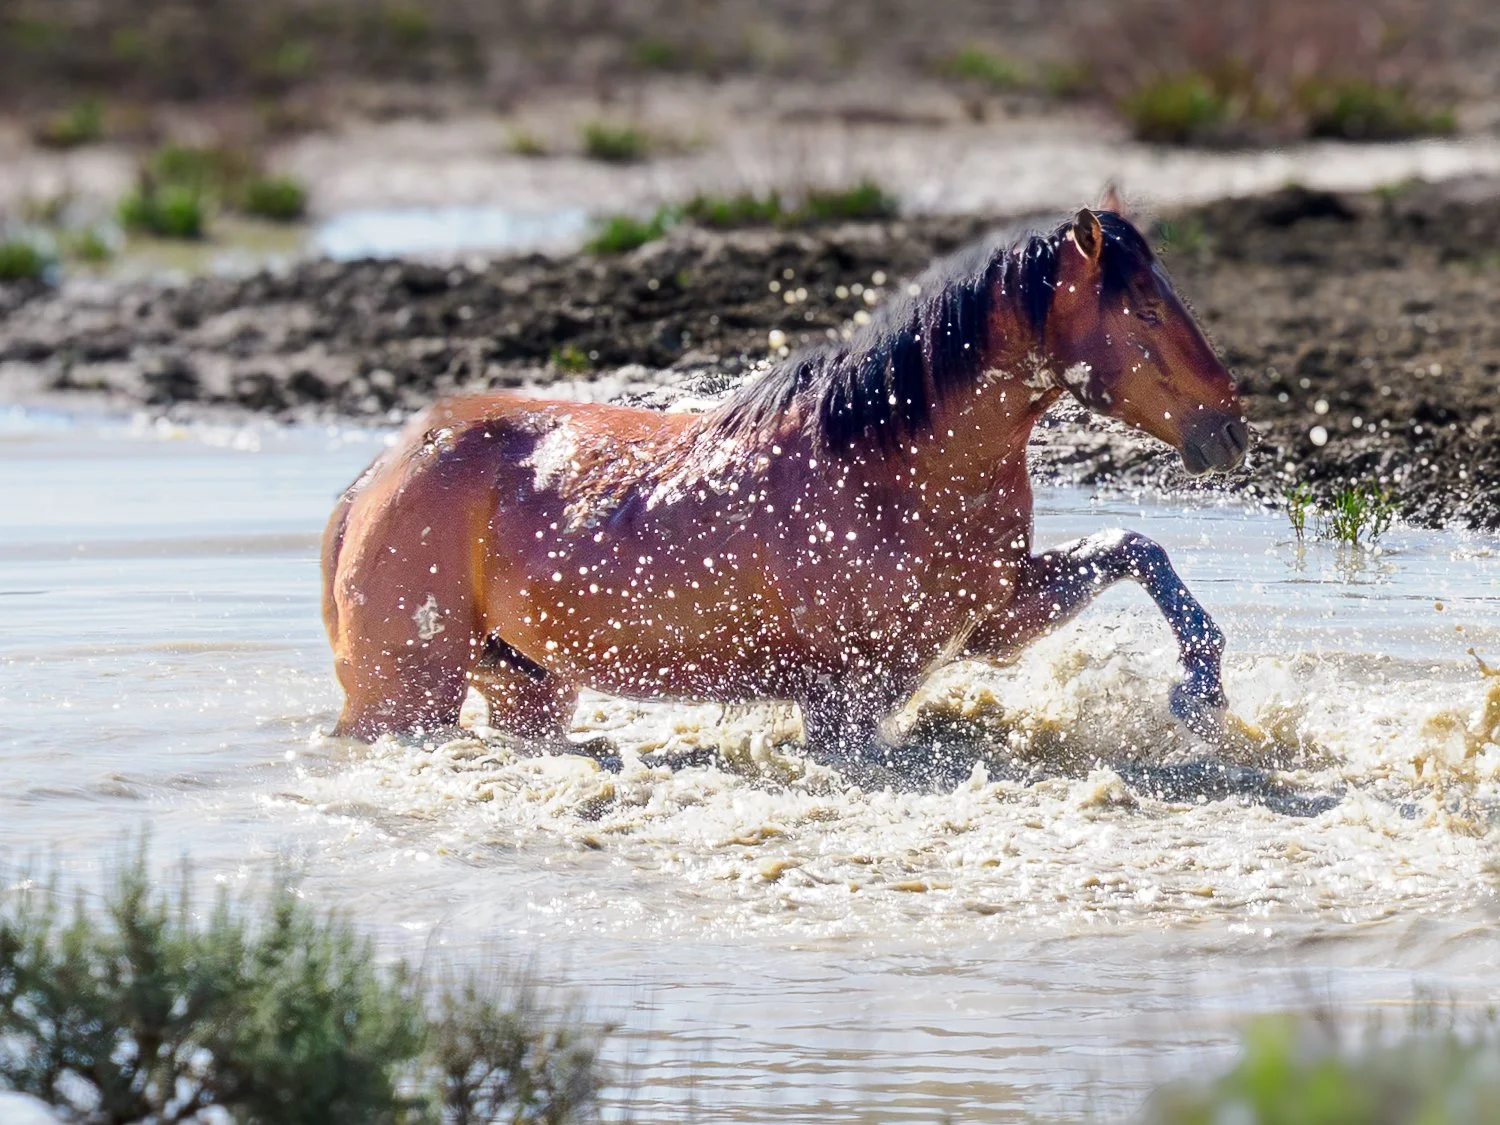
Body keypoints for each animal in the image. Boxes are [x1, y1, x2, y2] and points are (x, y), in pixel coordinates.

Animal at [321, 204, 1249, 763]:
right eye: (1147, 311)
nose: (1230, 431)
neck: (893, 467)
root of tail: (376, 477)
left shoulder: (990, 620)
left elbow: (1135, 549)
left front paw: (1200, 691)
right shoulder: (844, 702)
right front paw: (1196, 690)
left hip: (526, 686)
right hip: (403, 699)